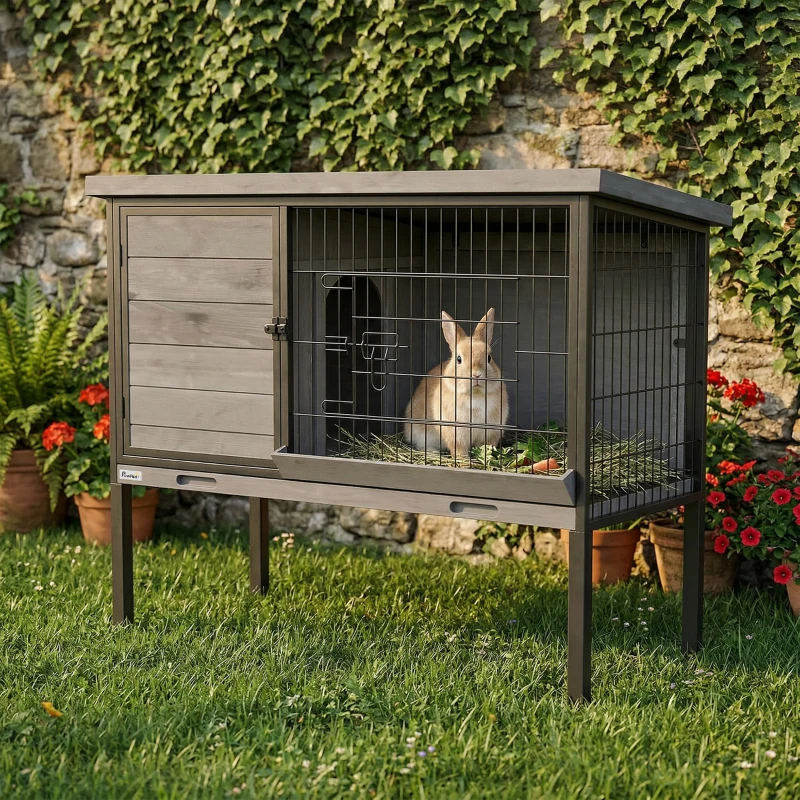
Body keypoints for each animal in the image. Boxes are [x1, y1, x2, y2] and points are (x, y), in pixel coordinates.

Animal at [404, 308, 508, 459]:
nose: (476, 375)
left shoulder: (491, 432)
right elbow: (459, 450)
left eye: (489, 358)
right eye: (459, 359)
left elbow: (487, 447)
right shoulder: (456, 434)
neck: (474, 394)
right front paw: (463, 461)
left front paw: (486, 457)